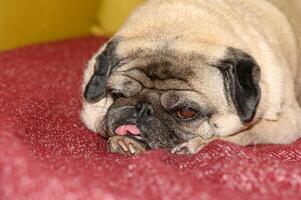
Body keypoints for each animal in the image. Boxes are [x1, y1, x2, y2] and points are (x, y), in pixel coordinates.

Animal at [79, 0, 300, 155]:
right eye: (117, 95)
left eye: (186, 112)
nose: (142, 108)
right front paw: (125, 143)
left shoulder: (288, 122)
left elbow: (243, 134)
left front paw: (196, 144)